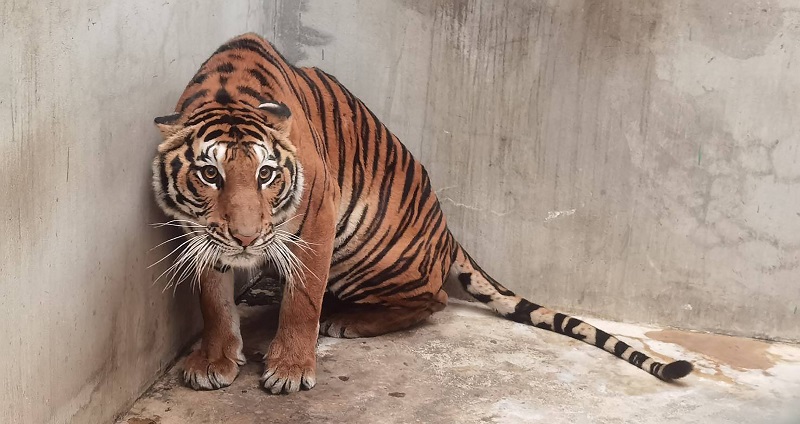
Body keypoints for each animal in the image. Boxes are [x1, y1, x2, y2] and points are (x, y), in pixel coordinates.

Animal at [151, 33, 693, 394]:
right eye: (210, 174)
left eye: (266, 174)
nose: (247, 239)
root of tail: (449, 236)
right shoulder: (201, 232)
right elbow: (213, 299)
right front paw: (215, 360)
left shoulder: (319, 211)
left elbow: (303, 300)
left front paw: (289, 369)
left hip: (366, 250)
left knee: (435, 300)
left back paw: (345, 320)